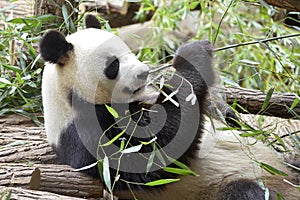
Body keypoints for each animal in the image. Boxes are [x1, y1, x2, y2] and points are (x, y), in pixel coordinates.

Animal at [39, 14, 298, 199]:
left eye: (129, 50)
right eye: (113, 65)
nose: (143, 73)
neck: (68, 97)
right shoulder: (89, 132)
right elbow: (159, 150)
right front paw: (190, 56)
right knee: (246, 192)